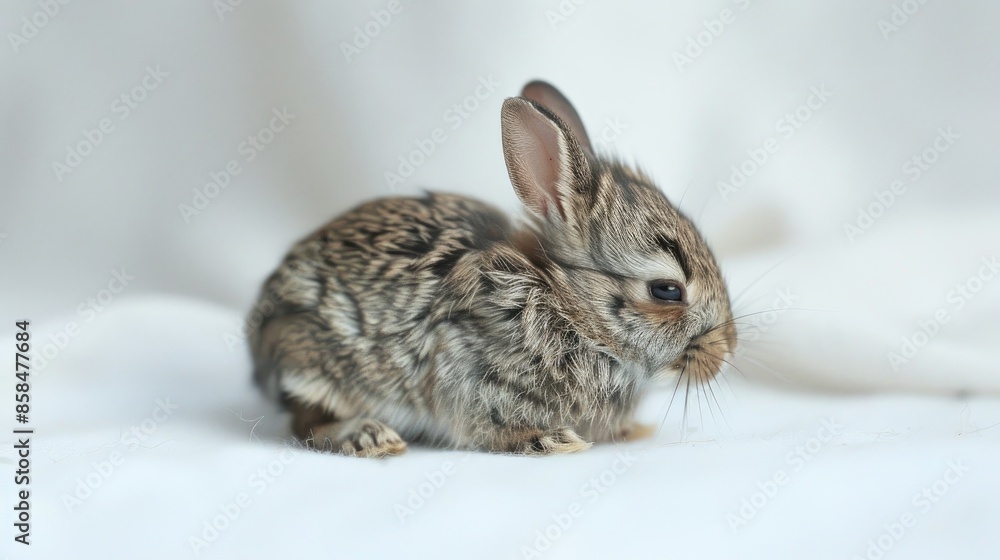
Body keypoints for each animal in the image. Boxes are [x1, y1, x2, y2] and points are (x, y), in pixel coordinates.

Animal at [248, 80, 736, 457]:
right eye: (666, 291)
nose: (725, 351)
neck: (572, 313)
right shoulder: (471, 379)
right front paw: (553, 441)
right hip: (319, 367)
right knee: (306, 423)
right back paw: (370, 437)